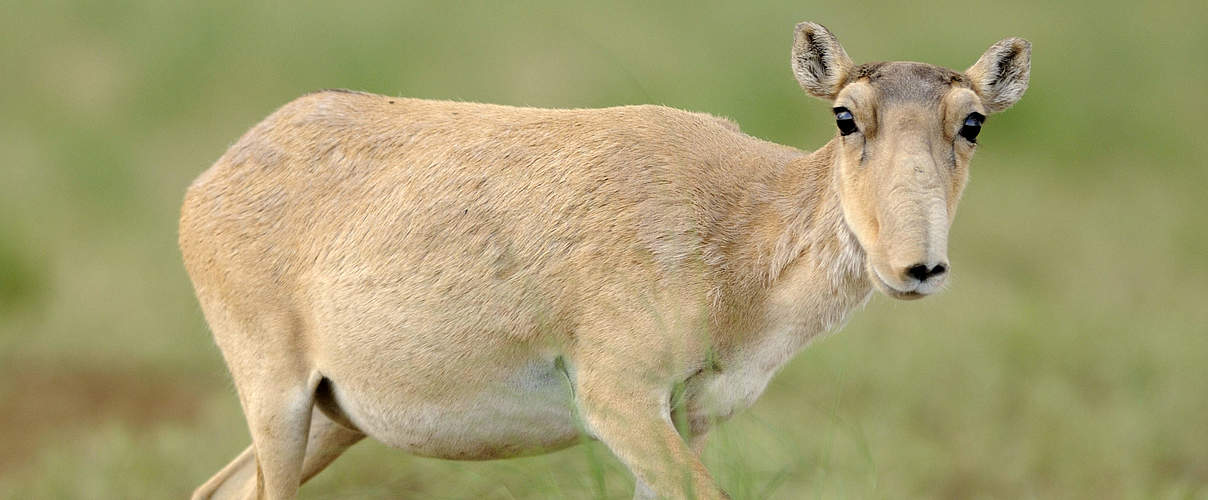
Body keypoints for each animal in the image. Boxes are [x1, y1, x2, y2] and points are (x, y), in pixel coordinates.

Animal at [178, 21, 1029, 497]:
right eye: (847, 115)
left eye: (973, 122)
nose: (916, 268)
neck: (741, 225)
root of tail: (208, 183)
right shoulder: (619, 400)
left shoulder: (683, 421)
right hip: (277, 398)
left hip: (338, 418)